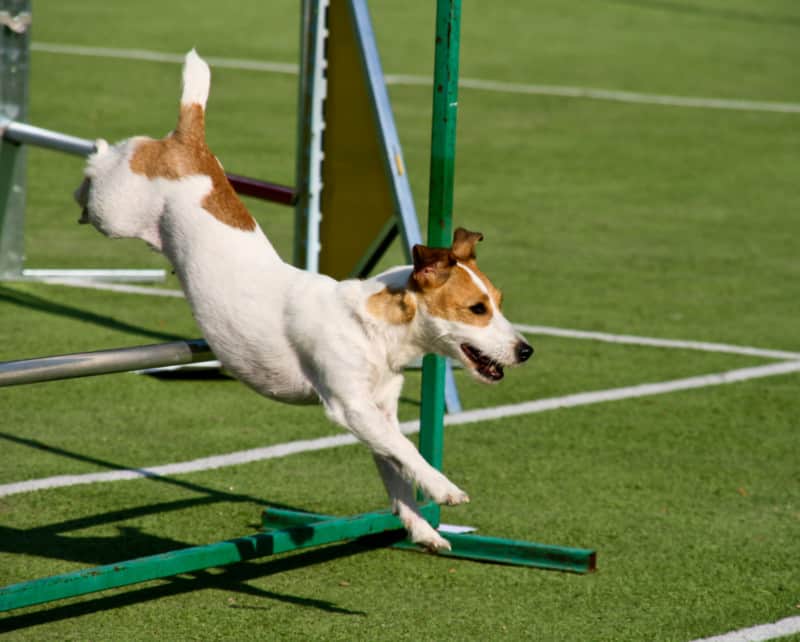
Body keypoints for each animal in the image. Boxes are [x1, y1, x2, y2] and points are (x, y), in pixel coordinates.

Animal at [76, 50, 532, 552]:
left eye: (499, 301)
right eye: (477, 309)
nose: (526, 350)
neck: (373, 330)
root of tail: (186, 141)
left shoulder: (378, 412)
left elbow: (395, 468)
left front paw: (423, 528)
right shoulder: (350, 405)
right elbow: (408, 449)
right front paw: (444, 488)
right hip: (115, 210)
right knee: (106, 161)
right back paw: (92, 154)